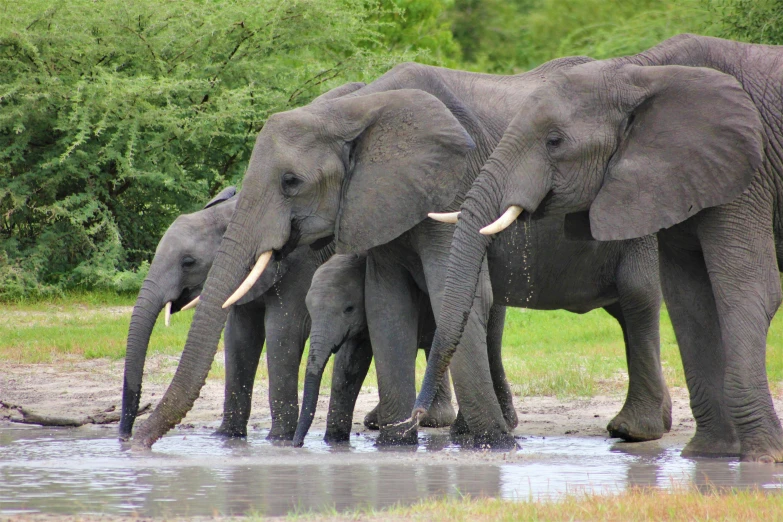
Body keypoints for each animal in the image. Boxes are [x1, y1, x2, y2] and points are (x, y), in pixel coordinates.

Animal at [414, 34, 780, 462]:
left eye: (554, 142)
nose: (413, 417)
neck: (637, 72)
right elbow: (690, 301)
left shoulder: (740, 173)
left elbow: (743, 291)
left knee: (637, 296)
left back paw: (633, 431)